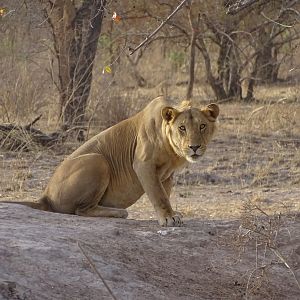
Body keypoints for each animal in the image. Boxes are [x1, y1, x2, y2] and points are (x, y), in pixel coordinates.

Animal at [4, 97, 218, 226]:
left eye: (202, 126)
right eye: (182, 128)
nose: (194, 147)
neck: (172, 151)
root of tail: (45, 195)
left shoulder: (166, 175)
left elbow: (164, 194)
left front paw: (170, 214)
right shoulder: (143, 164)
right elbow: (159, 196)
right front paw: (168, 218)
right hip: (98, 160)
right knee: (81, 210)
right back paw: (119, 212)